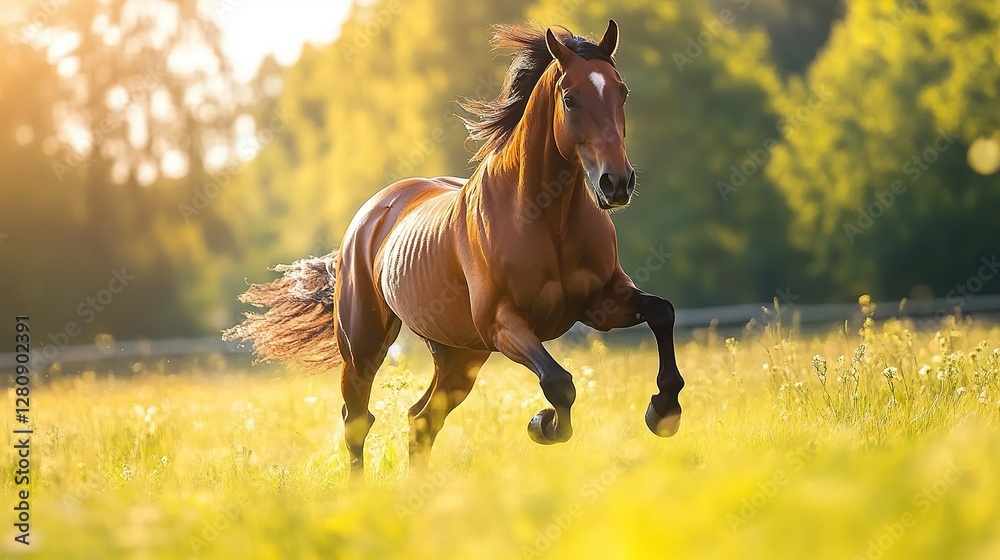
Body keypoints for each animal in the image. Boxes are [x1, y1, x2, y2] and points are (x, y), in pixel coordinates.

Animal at [224, 19, 685, 475]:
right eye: (570, 99)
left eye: (621, 91)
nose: (617, 183)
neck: (545, 217)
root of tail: (368, 218)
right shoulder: (503, 323)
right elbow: (559, 383)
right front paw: (542, 424)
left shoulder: (601, 303)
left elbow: (662, 312)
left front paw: (663, 412)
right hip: (364, 347)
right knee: (358, 420)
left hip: (460, 355)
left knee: (421, 420)